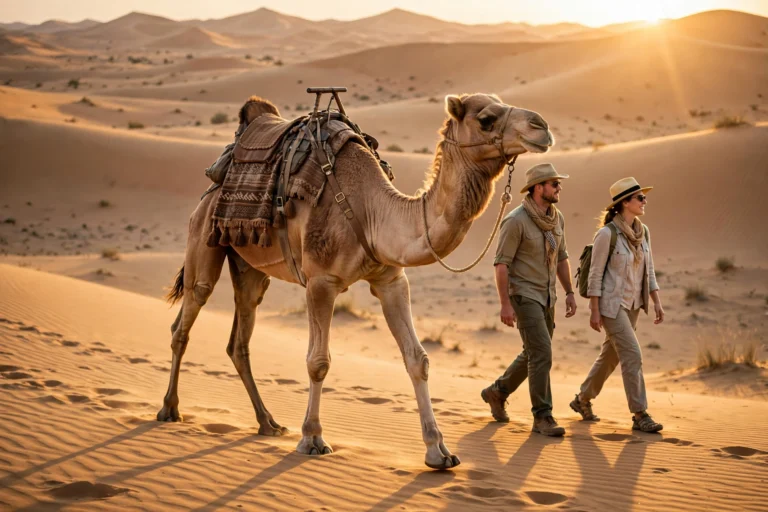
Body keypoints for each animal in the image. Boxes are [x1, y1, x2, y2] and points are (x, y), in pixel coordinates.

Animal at [159, 93, 554, 470]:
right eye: (485, 118)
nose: (542, 126)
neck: (372, 209)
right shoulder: (321, 281)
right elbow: (318, 361)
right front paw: (312, 438)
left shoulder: (392, 280)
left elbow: (418, 359)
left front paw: (438, 451)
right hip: (204, 237)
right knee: (185, 320)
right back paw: (170, 409)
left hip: (250, 266)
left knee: (240, 337)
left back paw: (267, 422)